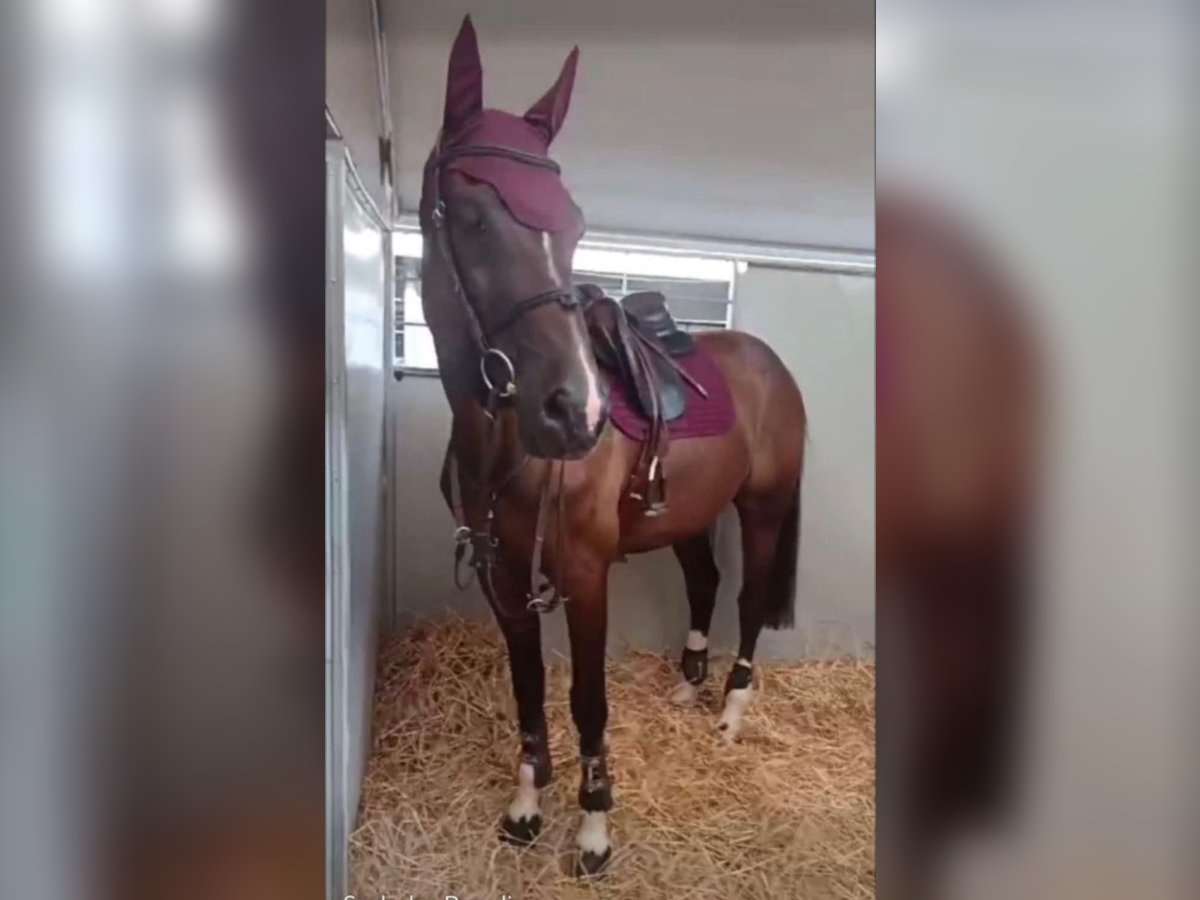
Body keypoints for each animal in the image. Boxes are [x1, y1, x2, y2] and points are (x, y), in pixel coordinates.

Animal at [416, 16, 807, 877]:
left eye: (574, 225)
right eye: (470, 216)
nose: (578, 410)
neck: (505, 448)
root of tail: (771, 365)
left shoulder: (586, 577)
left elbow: (585, 699)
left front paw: (594, 826)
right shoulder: (503, 581)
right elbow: (529, 692)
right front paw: (526, 807)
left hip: (762, 508)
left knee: (747, 599)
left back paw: (729, 713)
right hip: (688, 515)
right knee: (704, 582)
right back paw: (689, 686)